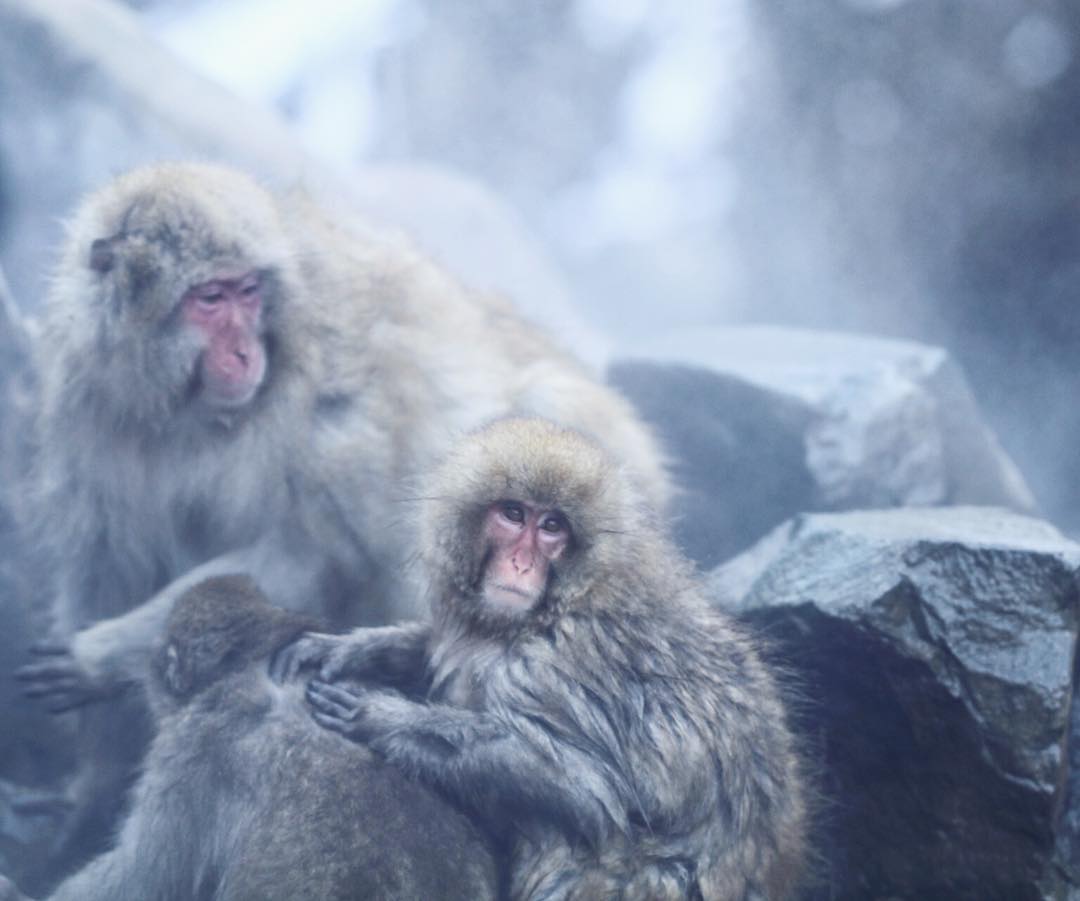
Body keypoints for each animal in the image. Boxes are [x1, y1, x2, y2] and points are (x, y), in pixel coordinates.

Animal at [12, 162, 669, 875]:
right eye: (209, 298)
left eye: (248, 292)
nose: (245, 355)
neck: (189, 408)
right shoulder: (89, 401)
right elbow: (106, 563)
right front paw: (90, 796)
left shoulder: (331, 404)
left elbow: (305, 556)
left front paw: (97, 658)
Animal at [275, 418, 807, 900]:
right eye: (513, 514)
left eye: (553, 527)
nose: (521, 563)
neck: (557, 603)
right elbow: (443, 651)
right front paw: (354, 650)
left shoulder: (559, 664)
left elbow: (586, 787)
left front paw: (383, 718)